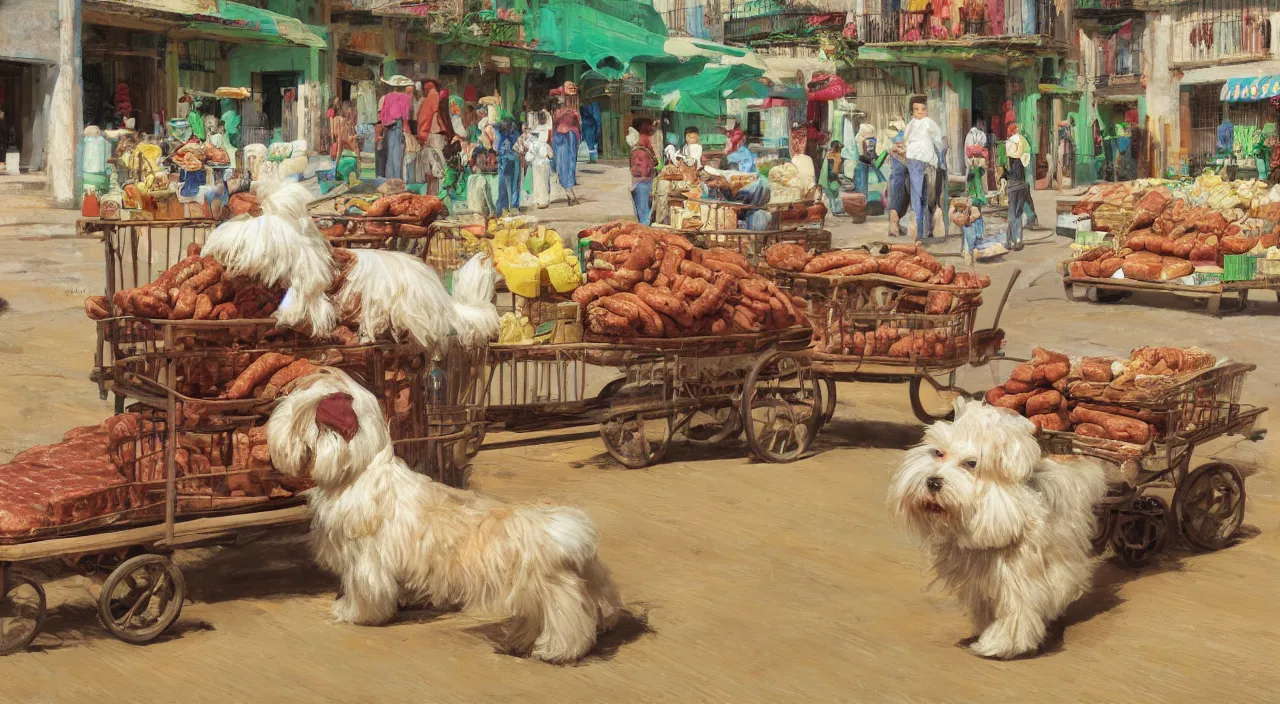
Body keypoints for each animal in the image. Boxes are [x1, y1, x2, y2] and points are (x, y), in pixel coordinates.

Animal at [267, 366, 622, 665]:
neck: (360, 469)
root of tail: (569, 533)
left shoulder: (363, 563)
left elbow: (363, 592)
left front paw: (353, 614)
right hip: (544, 593)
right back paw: (522, 641)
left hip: (548, 591)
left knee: (569, 619)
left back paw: (555, 650)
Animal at [890, 401, 1111, 660]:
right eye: (938, 453)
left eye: (971, 464)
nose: (933, 482)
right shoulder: (979, 581)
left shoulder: (1019, 579)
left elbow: (1017, 610)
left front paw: (1000, 644)